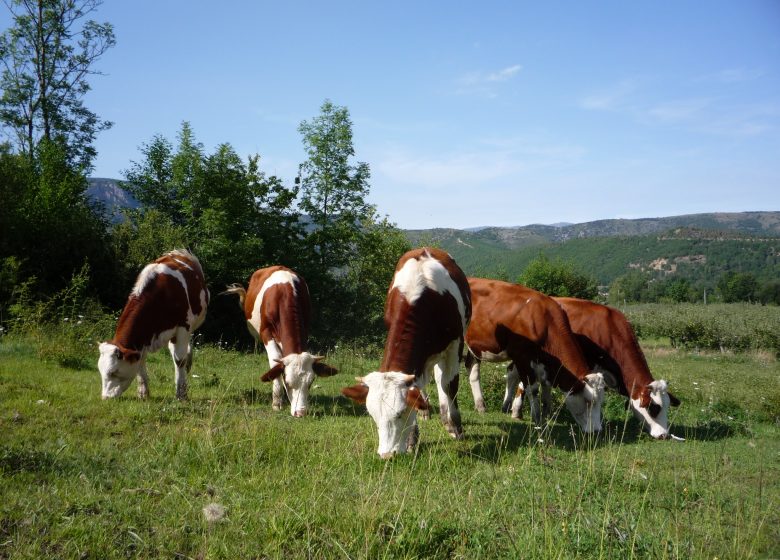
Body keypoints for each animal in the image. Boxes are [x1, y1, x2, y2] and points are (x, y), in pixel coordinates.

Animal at [96, 248, 209, 398]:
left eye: (113, 372)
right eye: (100, 370)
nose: (105, 397)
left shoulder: (183, 327)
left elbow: (179, 360)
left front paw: (181, 394)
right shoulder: (141, 339)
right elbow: (141, 360)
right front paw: (143, 393)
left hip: (194, 323)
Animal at [222, 266, 338, 416]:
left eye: (310, 382)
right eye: (287, 382)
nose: (301, 413)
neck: (284, 296)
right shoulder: (266, 332)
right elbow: (275, 362)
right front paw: (277, 402)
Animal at [342, 247, 476, 458]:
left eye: (399, 413)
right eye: (373, 415)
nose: (387, 455)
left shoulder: (456, 344)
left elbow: (449, 385)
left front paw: (456, 428)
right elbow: (418, 387)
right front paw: (413, 438)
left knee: (441, 379)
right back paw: (426, 411)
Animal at [464, 278, 604, 434]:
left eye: (601, 401)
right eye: (588, 401)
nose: (597, 430)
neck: (545, 322)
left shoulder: (545, 364)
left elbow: (546, 390)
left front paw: (546, 415)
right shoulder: (523, 357)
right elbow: (533, 388)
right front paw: (537, 420)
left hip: (473, 345)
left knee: (472, 369)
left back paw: (480, 405)